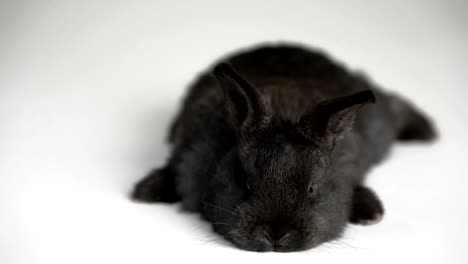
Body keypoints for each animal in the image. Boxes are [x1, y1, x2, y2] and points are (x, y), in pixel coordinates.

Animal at [131, 43, 436, 252]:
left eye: (313, 188)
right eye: (246, 183)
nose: (276, 235)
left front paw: (371, 213)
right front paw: (144, 191)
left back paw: (426, 131)